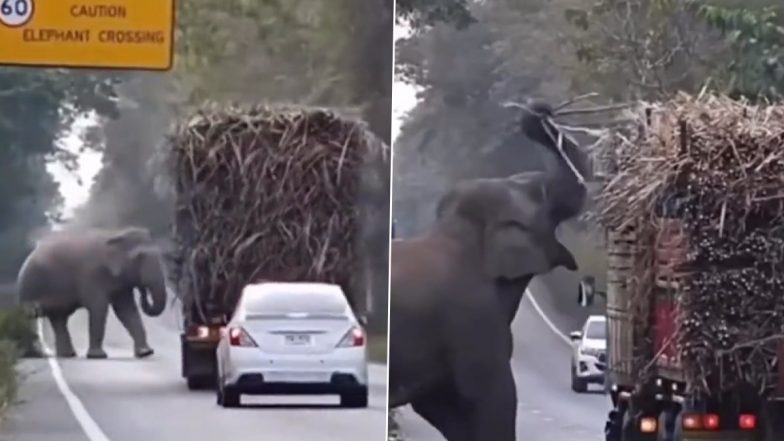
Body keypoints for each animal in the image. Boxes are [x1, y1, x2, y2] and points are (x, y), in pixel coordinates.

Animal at [16, 227, 168, 358]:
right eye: (139, 258)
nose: (143, 291)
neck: (115, 235)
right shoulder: (91, 274)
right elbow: (99, 308)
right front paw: (98, 356)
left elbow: (127, 310)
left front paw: (145, 353)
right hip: (31, 286)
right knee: (36, 315)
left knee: (59, 318)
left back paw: (67, 355)